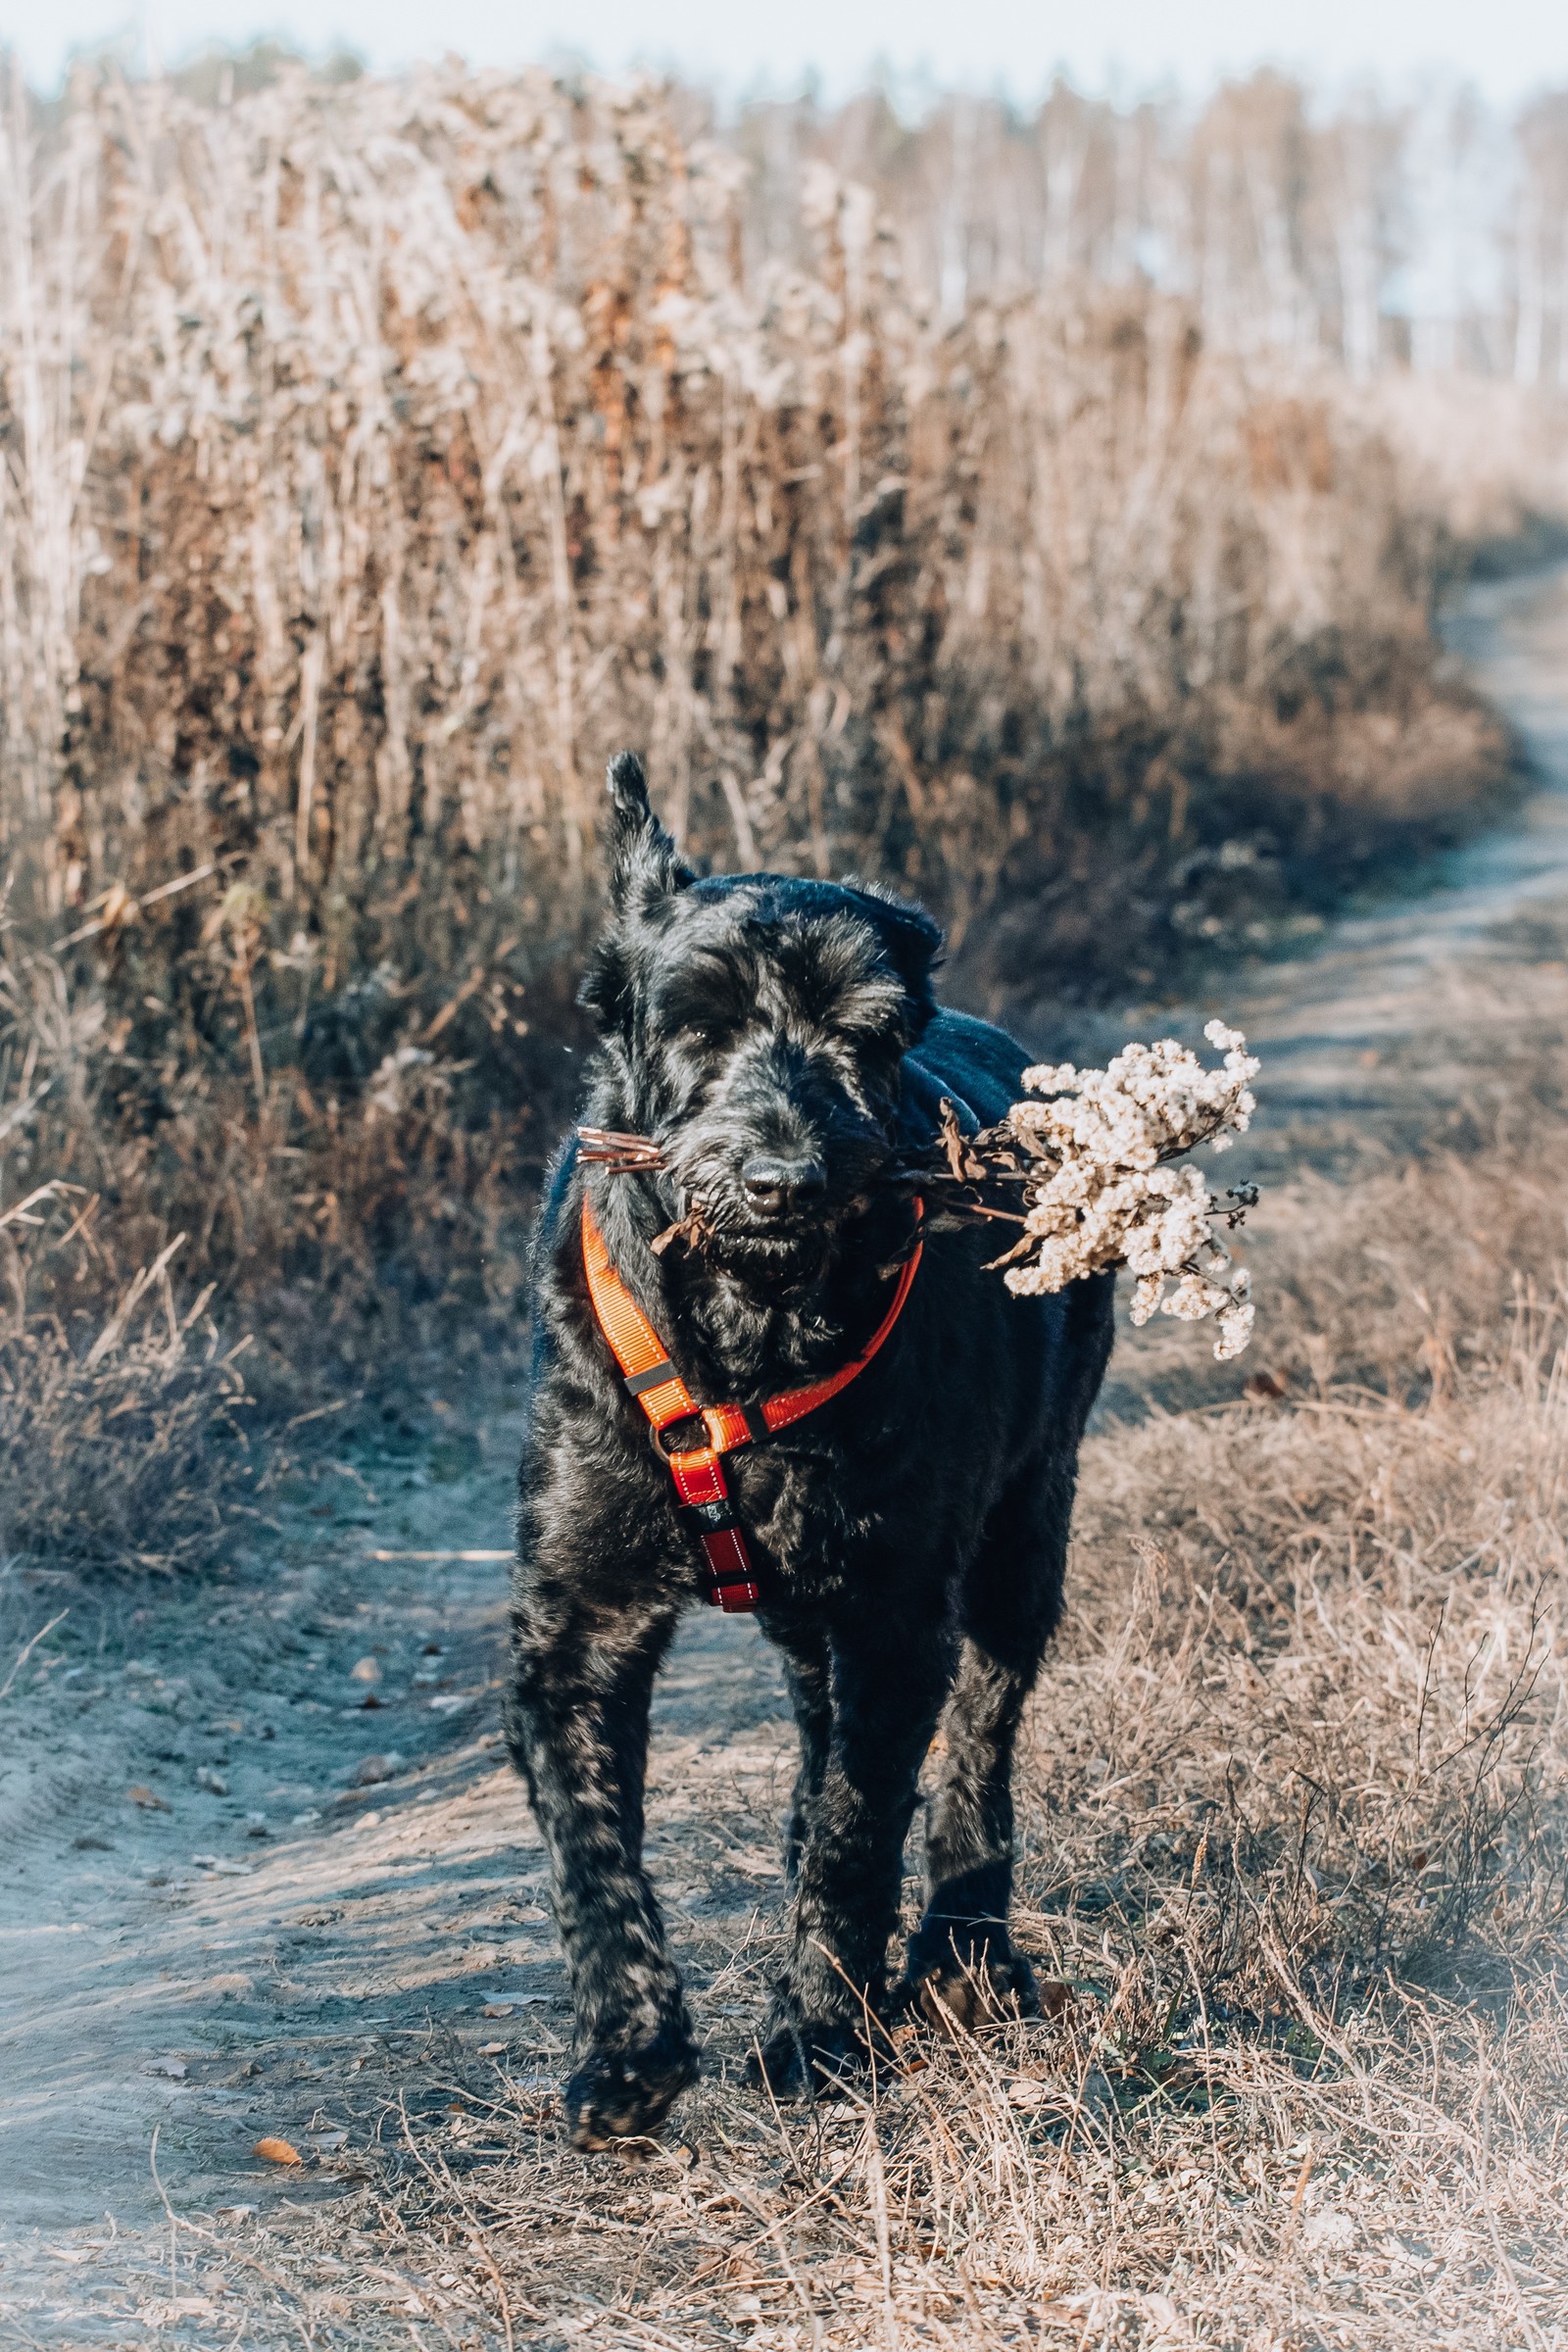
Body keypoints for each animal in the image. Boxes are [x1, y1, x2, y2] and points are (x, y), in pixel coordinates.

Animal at [505, 753, 1114, 2154]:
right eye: (697, 1025)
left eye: (865, 1032)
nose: (785, 1177)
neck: (750, 1330)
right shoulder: (578, 1621)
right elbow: (592, 1850)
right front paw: (629, 2055)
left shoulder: (896, 1609)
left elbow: (858, 1828)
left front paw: (819, 2032)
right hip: (813, 1602)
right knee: (818, 1728)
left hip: (1020, 1536)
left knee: (976, 1744)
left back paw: (959, 1951)